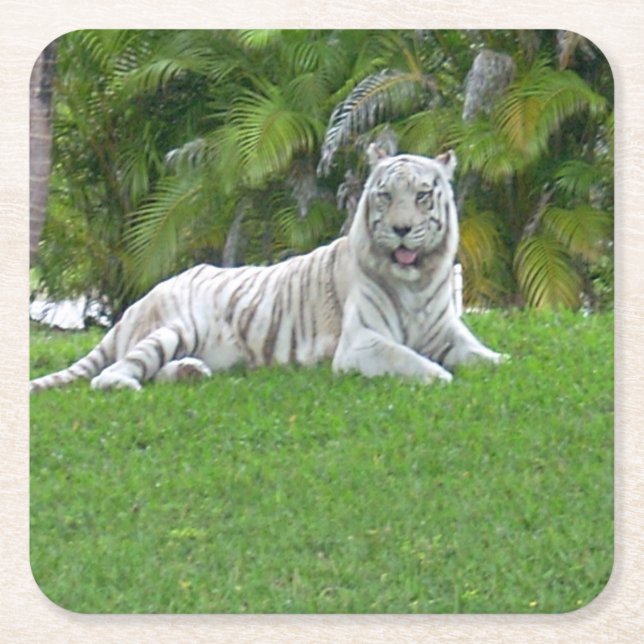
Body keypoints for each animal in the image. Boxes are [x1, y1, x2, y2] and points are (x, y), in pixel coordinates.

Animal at [29, 150, 503, 393]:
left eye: (422, 195)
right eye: (385, 196)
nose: (402, 230)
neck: (415, 282)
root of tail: (135, 303)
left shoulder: (448, 332)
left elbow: (485, 357)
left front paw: (500, 362)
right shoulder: (362, 343)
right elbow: (406, 358)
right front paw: (439, 375)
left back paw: (189, 373)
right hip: (175, 327)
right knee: (111, 375)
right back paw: (129, 384)